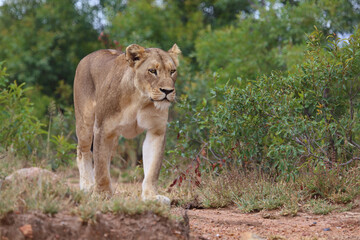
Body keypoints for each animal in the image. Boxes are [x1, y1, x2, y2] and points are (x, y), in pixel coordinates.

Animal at [73, 43, 181, 204]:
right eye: (152, 71)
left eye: (172, 71)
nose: (167, 91)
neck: (140, 99)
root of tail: (88, 56)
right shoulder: (103, 128)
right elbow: (101, 168)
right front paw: (101, 194)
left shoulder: (156, 131)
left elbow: (153, 169)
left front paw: (151, 196)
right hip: (85, 122)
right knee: (83, 152)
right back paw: (87, 186)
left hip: (114, 139)